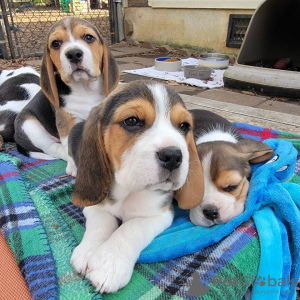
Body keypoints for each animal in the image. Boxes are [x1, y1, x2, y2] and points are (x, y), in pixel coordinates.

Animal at [68, 79, 204, 292]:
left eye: (184, 126)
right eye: (132, 121)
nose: (173, 156)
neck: (129, 189)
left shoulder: (159, 214)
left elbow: (130, 228)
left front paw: (108, 264)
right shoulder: (94, 206)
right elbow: (101, 222)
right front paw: (88, 251)